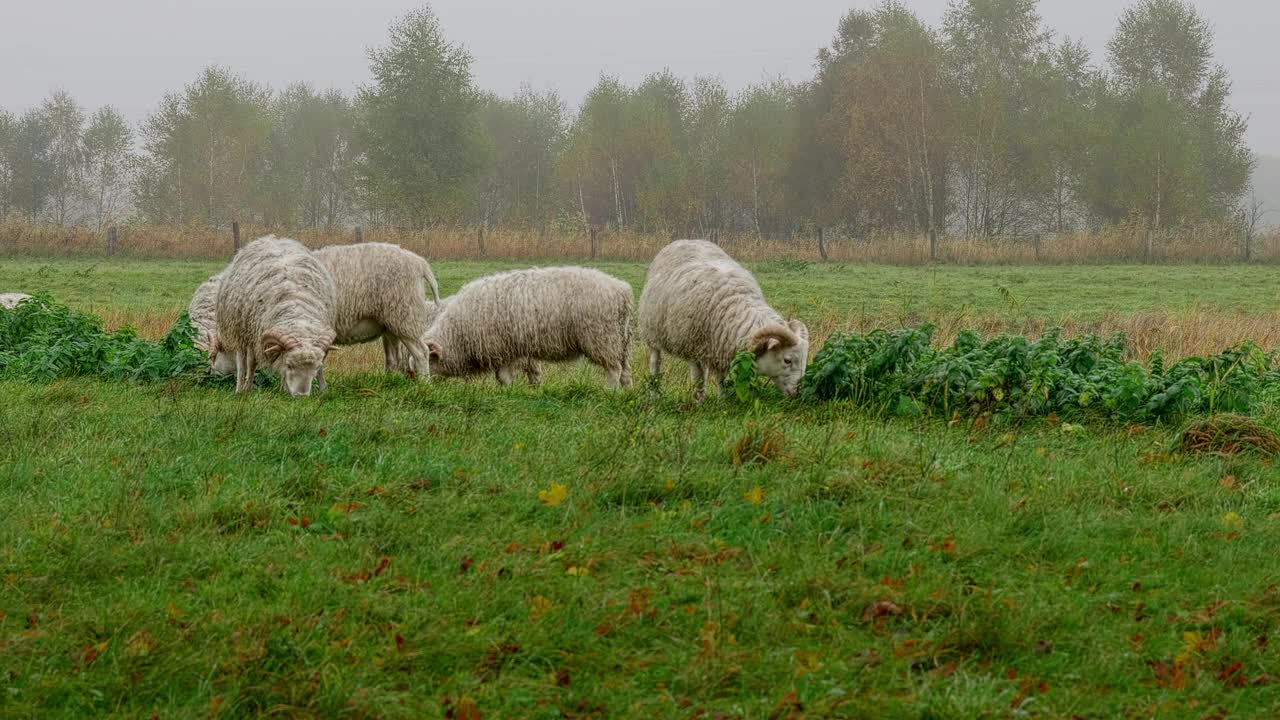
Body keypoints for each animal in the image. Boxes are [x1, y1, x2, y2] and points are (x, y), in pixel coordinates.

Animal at [215, 234, 337, 392]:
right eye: (289, 365)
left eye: (315, 368)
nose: (301, 395)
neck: (296, 310)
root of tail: (272, 238)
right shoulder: (256, 336)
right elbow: (251, 363)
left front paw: (322, 390)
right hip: (240, 328)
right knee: (243, 362)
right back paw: (241, 388)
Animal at [312, 240, 442, 376]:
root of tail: (420, 263)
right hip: (391, 324)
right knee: (393, 358)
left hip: (406, 317)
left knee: (421, 353)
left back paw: (424, 380)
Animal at [424, 266, 634, 386]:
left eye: (427, 359)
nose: (421, 387)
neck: (457, 333)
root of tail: (622, 290)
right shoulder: (516, 350)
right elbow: (527, 374)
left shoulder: (503, 349)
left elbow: (503, 377)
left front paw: (507, 393)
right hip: (621, 341)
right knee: (626, 371)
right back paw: (626, 393)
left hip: (602, 338)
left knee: (614, 370)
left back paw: (609, 391)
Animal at [640, 239, 808, 397]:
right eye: (787, 360)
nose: (799, 392)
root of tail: (685, 240)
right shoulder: (693, 349)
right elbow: (698, 380)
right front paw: (700, 402)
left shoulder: (720, 347)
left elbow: (721, 380)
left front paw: (721, 400)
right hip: (652, 332)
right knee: (655, 362)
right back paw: (654, 394)